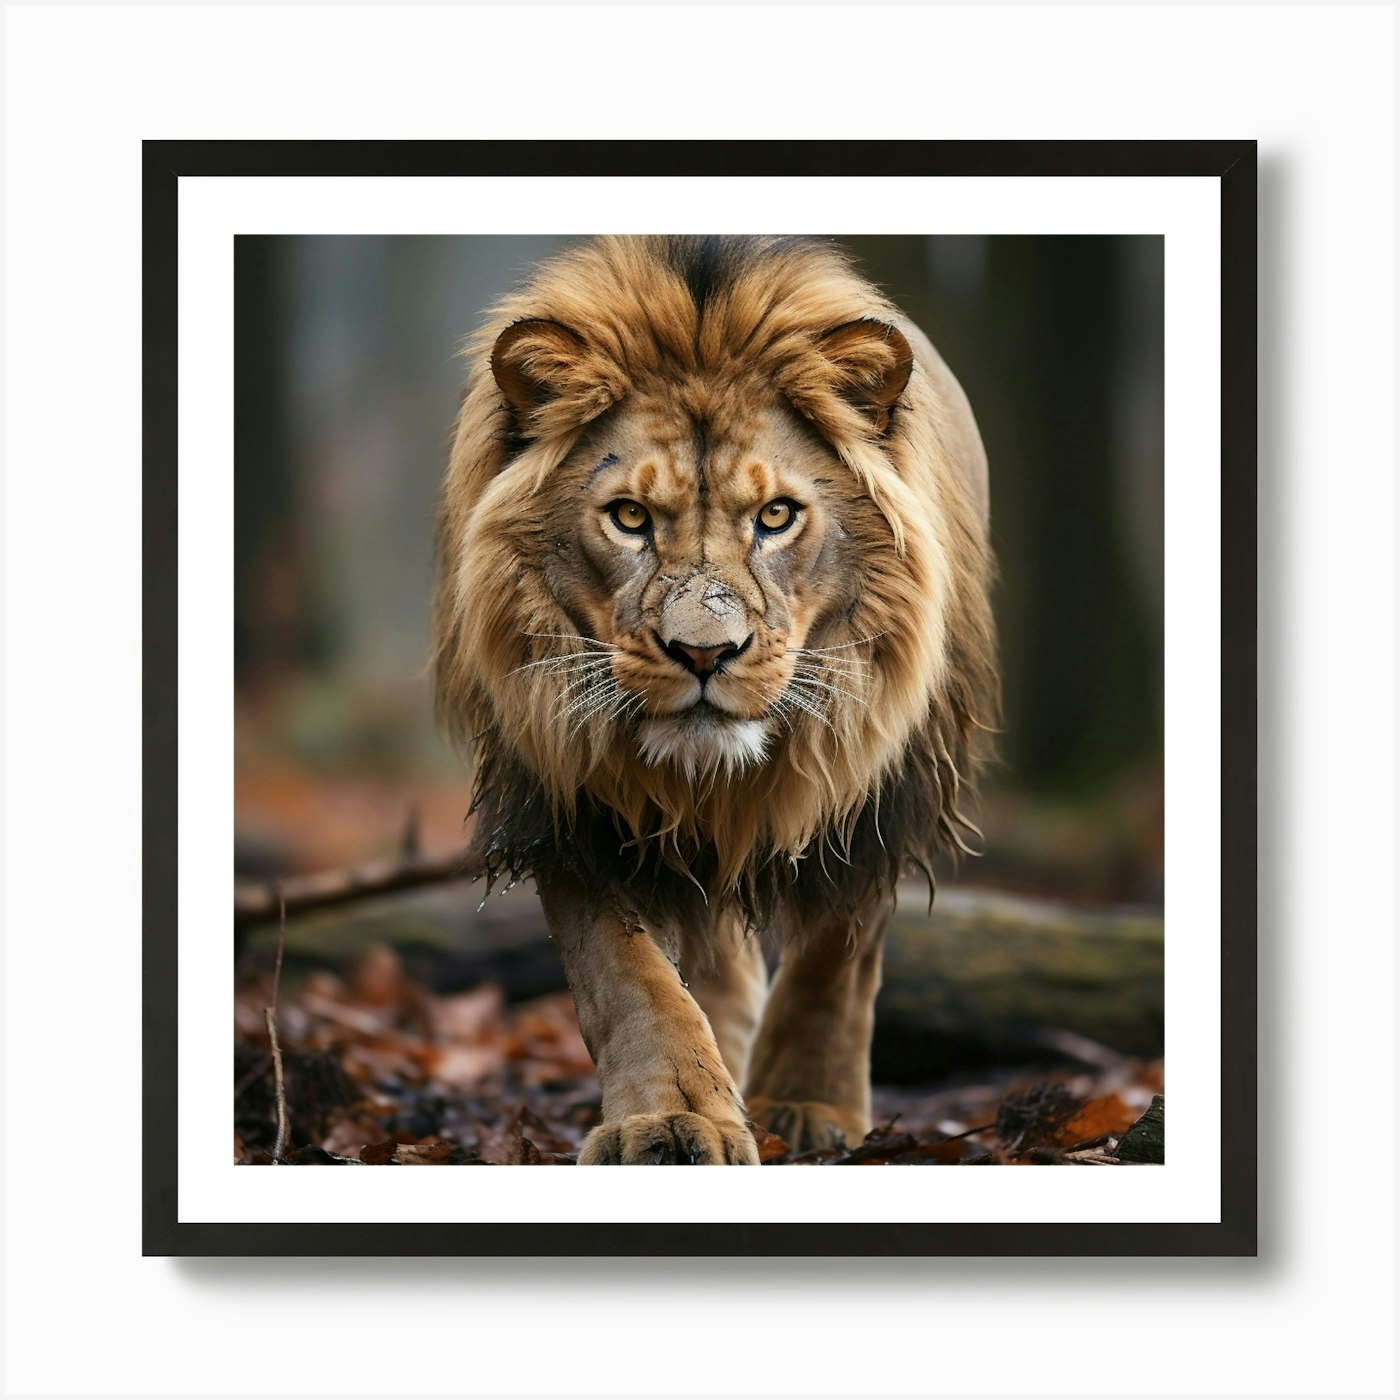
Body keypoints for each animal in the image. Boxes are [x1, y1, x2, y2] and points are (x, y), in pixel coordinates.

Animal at [433, 235, 997, 1164]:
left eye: (775, 516)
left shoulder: (879, 780)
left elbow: (837, 954)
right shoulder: (568, 794)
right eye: (629, 517)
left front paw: (807, 1105)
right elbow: (626, 977)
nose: (704, 652)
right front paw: (671, 1117)